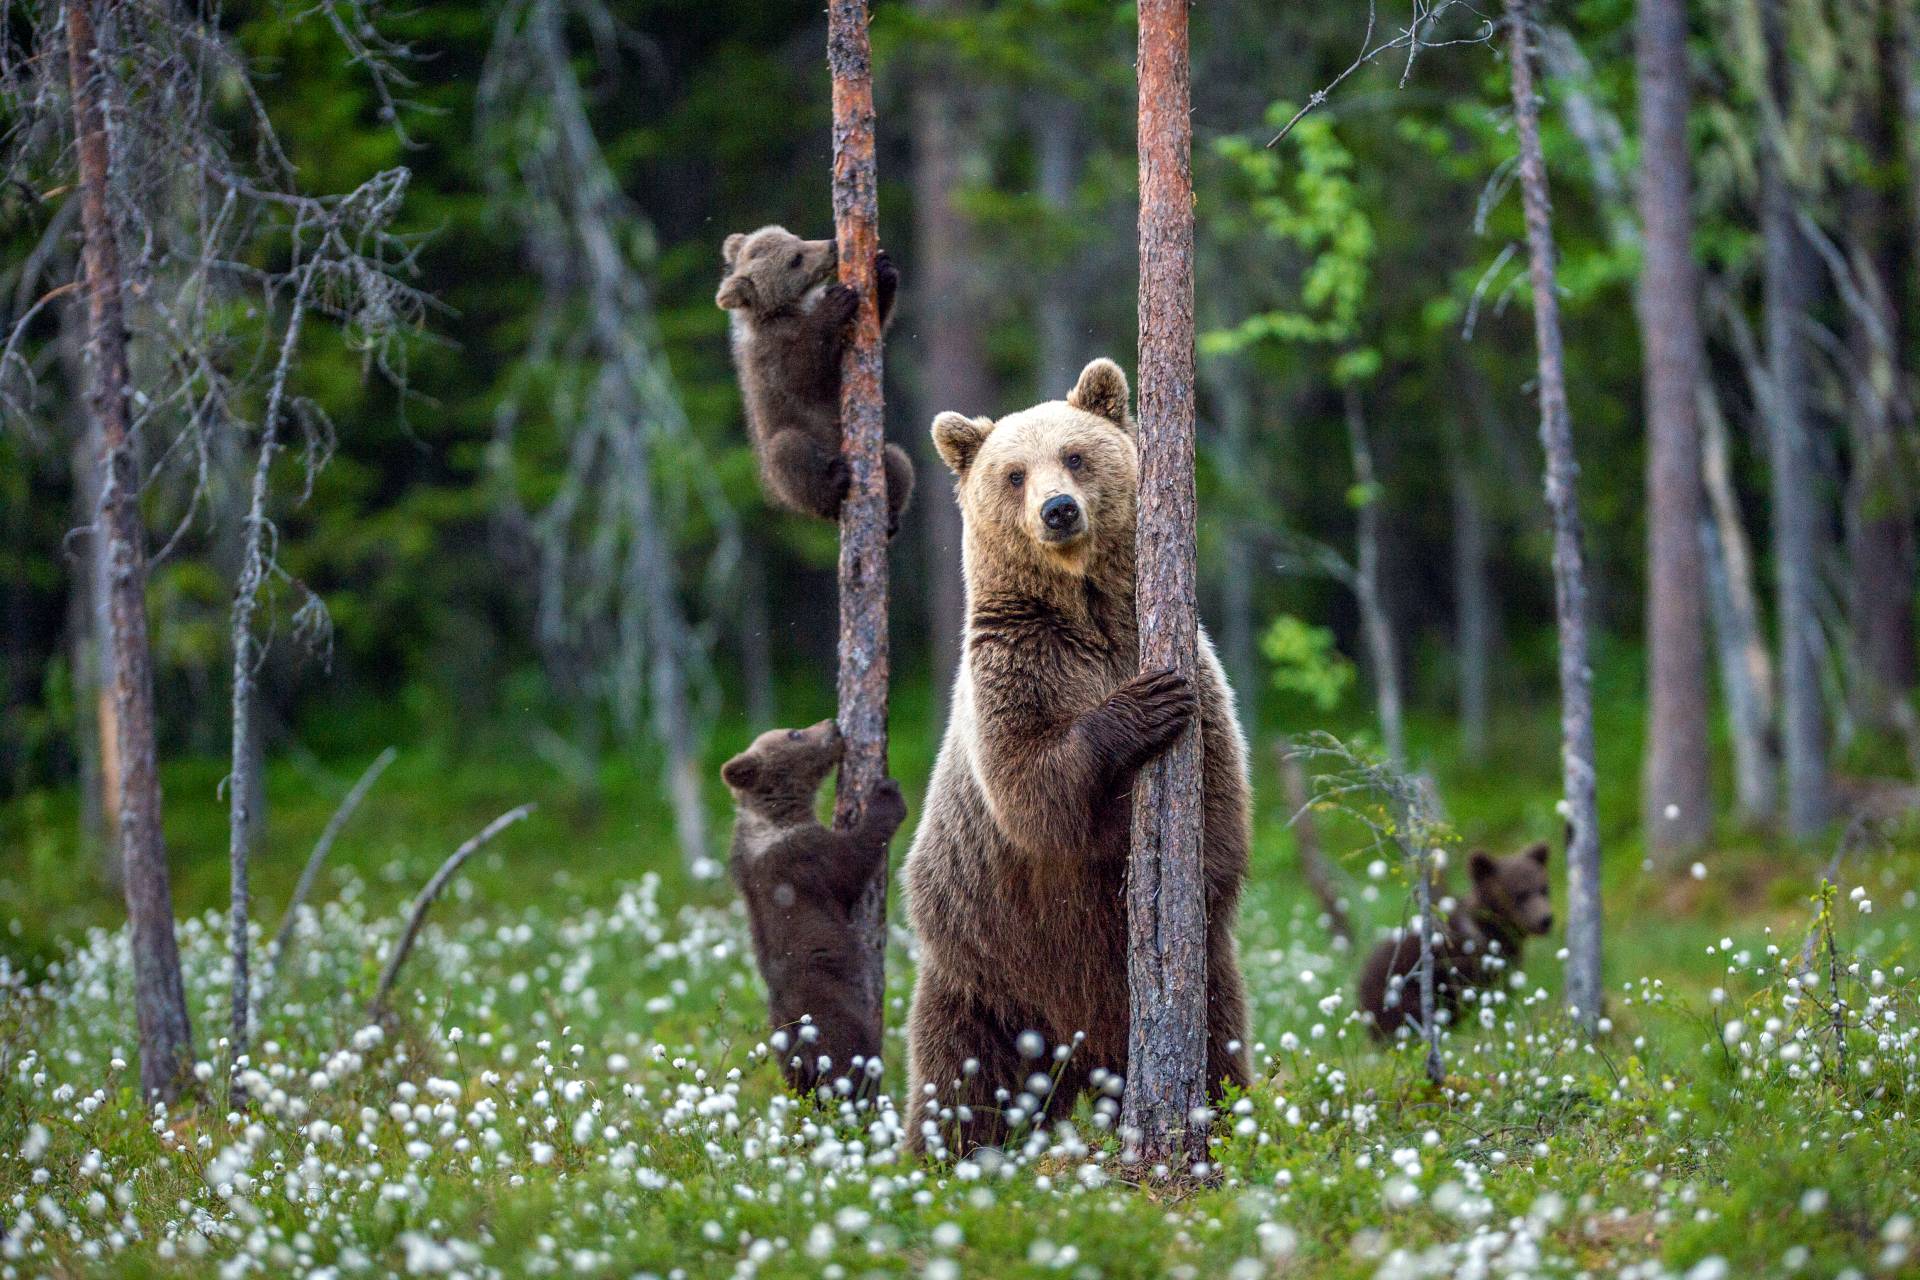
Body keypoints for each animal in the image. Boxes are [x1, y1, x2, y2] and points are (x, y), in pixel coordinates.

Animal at [714, 222, 913, 533]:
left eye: (796, 238)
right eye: (795, 259)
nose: (832, 244)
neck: (788, 309)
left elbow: (874, 324)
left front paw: (883, 271)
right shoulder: (772, 355)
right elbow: (804, 375)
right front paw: (837, 301)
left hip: (883, 455)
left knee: (898, 460)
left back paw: (891, 517)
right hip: (783, 462)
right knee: (788, 451)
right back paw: (835, 482)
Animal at [721, 725, 910, 1097]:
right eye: (794, 733)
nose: (833, 725)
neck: (776, 816)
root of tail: (801, 1042)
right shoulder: (804, 858)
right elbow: (852, 861)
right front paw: (887, 794)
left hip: (783, 1050)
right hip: (834, 1020)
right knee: (852, 1063)